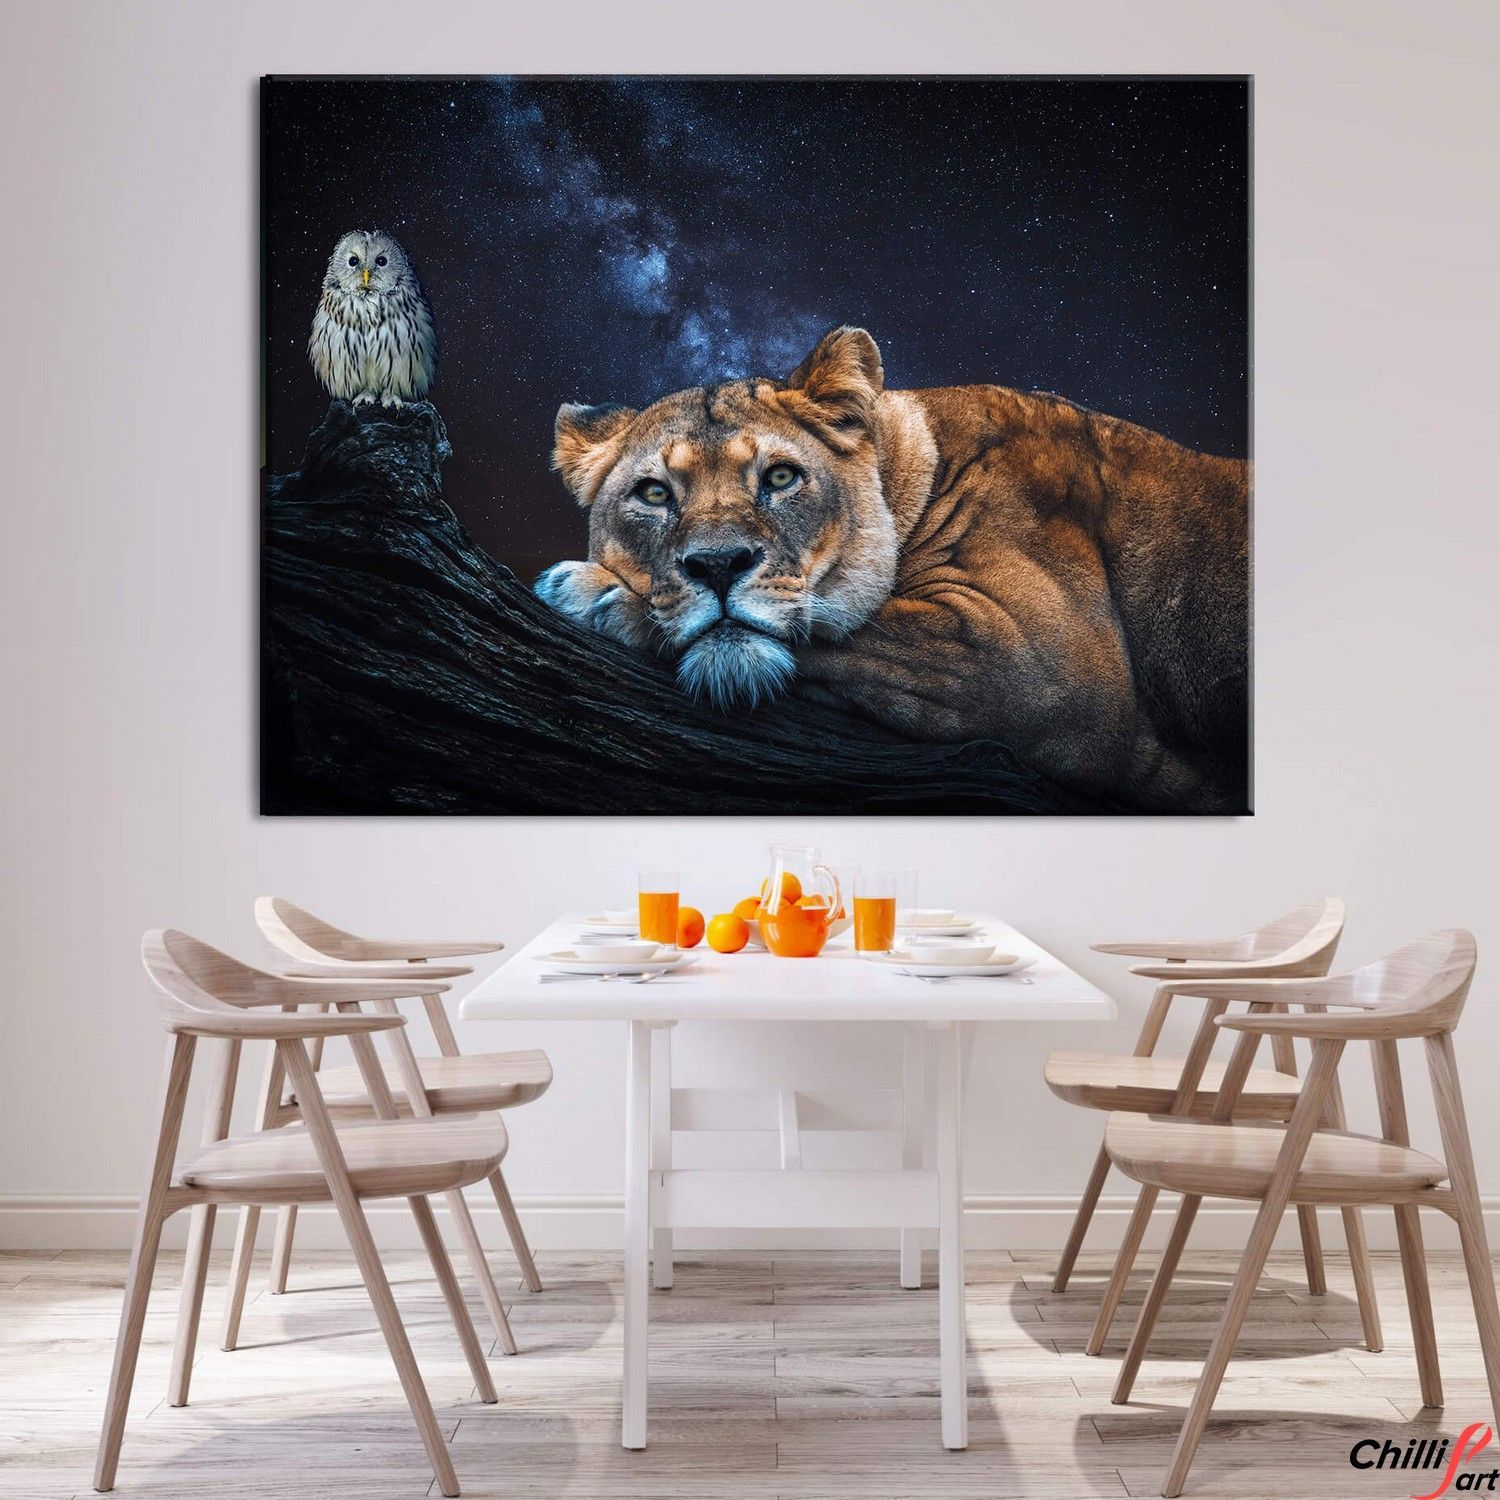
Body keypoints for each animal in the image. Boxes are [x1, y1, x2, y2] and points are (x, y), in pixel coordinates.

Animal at [535, 326, 1248, 812]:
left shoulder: (1047, 656)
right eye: (655, 493)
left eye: (781, 477)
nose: (718, 564)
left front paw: (590, 593)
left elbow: (847, 628)